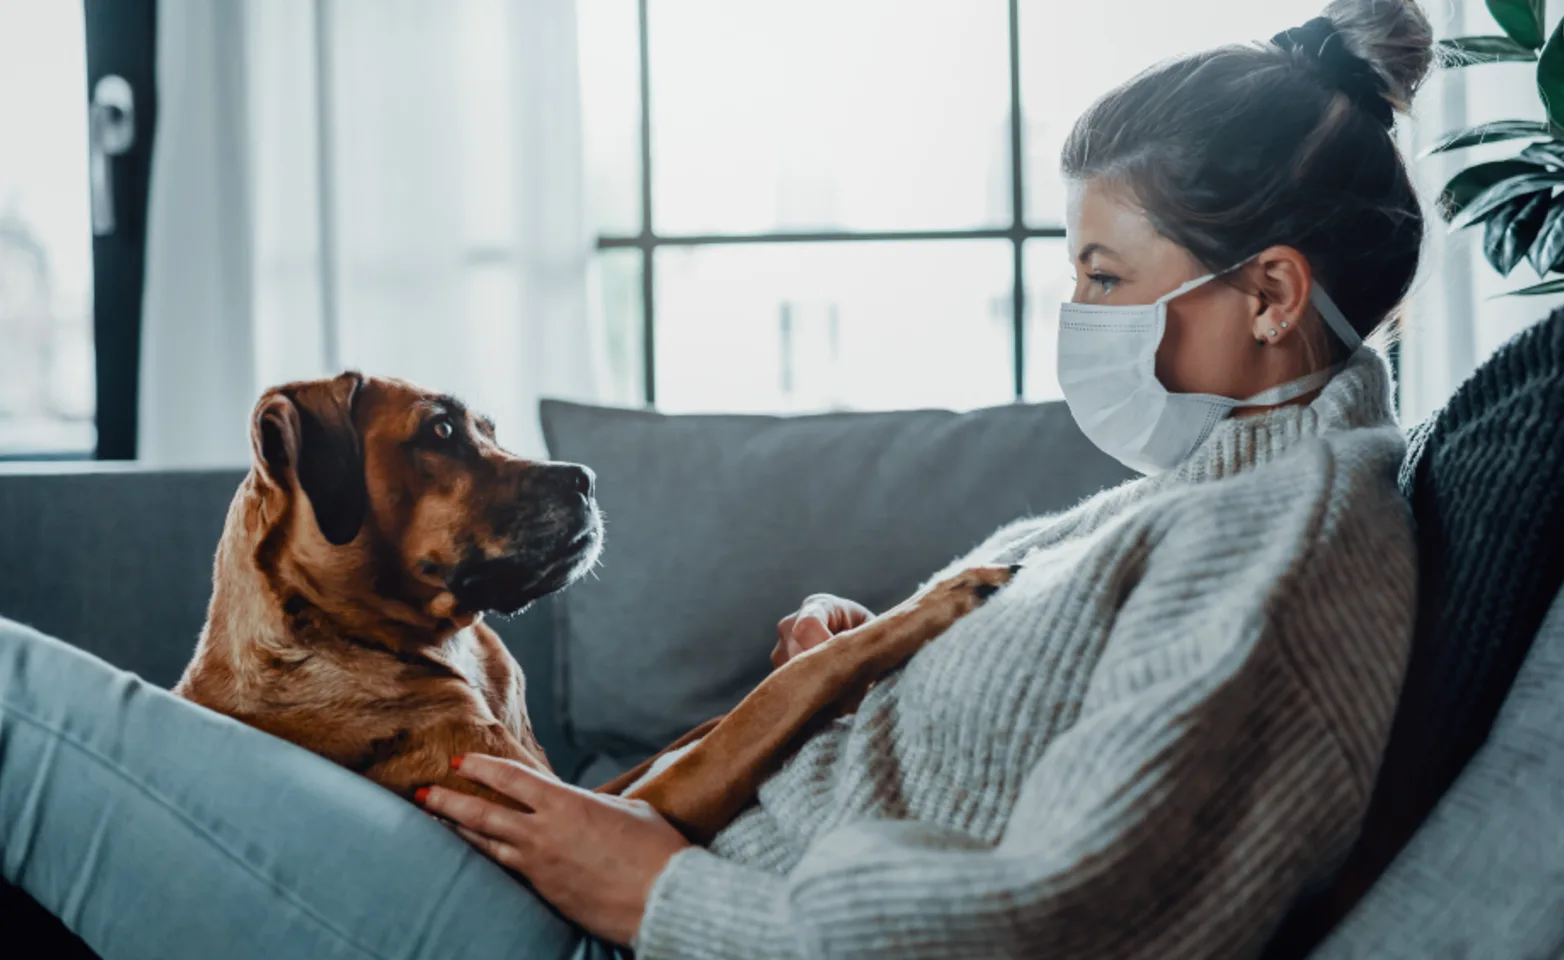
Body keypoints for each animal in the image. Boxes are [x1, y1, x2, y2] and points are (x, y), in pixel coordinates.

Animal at [179, 368, 1013, 844]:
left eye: (489, 429)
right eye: (440, 431)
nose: (585, 477)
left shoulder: (595, 790)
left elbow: (745, 700)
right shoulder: (604, 803)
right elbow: (787, 690)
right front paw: (939, 599)